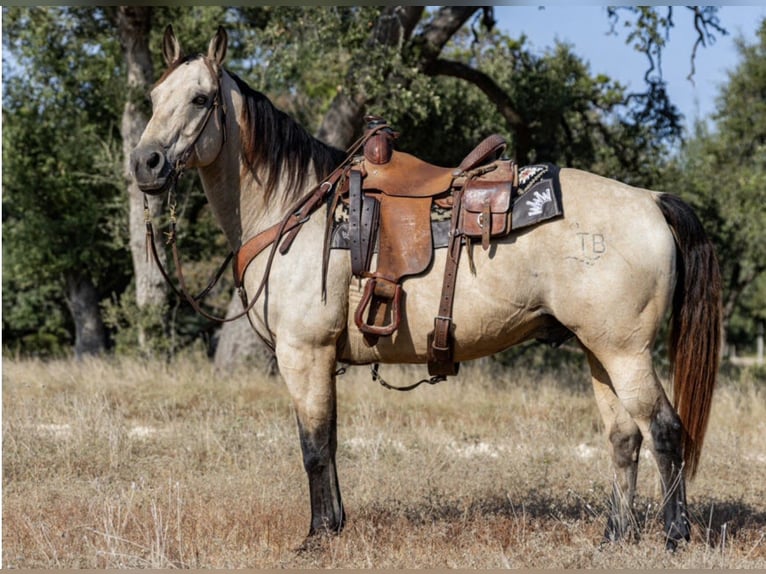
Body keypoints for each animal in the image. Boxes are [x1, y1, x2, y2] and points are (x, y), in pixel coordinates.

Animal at [131, 26, 722, 551]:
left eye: (200, 99)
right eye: (154, 97)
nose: (146, 163)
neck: (295, 211)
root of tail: (650, 201)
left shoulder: (305, 353)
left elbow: (314, 446)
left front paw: (318, 536)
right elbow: (331, 441)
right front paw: (336, 526)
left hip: (626, 352)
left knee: (665, 430)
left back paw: (675, 536)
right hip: (599, 351)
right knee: (625, 437)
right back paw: (614, 538)